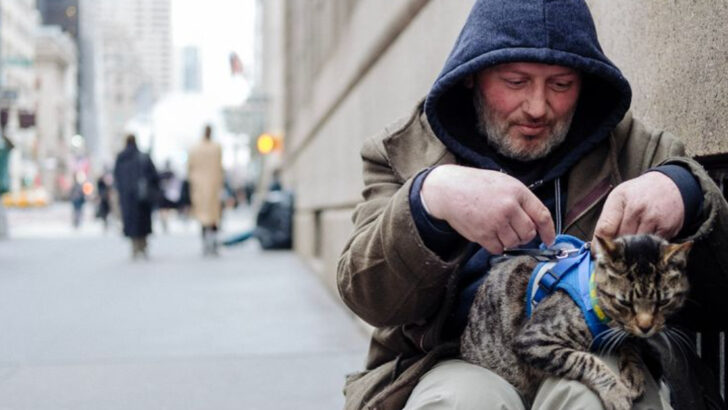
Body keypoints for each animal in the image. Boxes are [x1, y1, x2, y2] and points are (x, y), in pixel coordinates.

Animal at [460, 234, 692, 410]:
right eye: (624, 302)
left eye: (664, 301)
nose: (646, 327)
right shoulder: (532, 339)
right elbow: (584, 360)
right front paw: (615, 390)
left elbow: (629, 342)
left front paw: (634, 371)